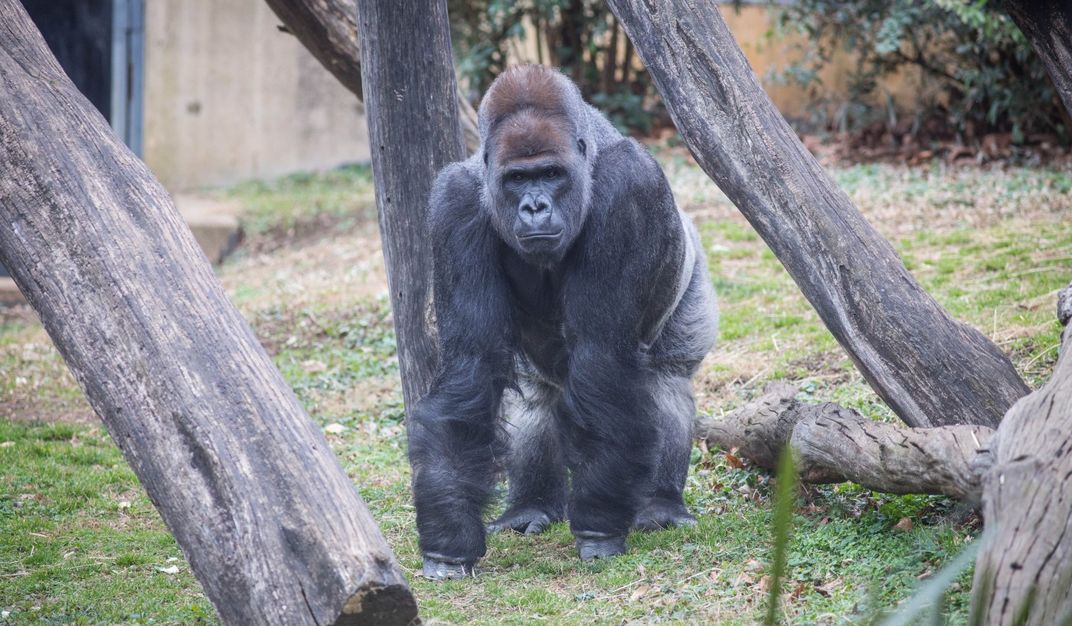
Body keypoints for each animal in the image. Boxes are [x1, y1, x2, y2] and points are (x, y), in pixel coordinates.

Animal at [409, 65, 720, 578]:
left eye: (551, 174)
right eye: (518, 179)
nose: (535, 207)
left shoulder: (628, 188)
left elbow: (602, 357)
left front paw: (597, 526)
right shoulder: (454, 204)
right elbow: (470, 367)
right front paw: (448, 538)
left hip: (691, 276)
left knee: (665, 379)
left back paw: (661, 503)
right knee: (535, 397)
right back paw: (530, 505)